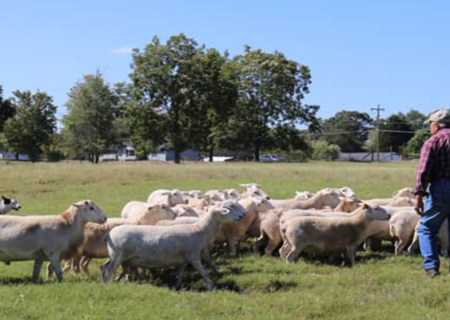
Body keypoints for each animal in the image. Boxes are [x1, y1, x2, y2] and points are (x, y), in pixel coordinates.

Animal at [100, 201, 246, 292]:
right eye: (230, 207)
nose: (242, 216)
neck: (200, 229)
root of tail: (109, 234)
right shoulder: (193, 256)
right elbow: (202, 271)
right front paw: (210, 286)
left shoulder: (183, 260)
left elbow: (180, 274)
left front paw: (177, 287)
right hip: (117, 256)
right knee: (109, 270)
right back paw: (107, 285)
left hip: (115, 256)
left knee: (103, 267)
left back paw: (104, 282)